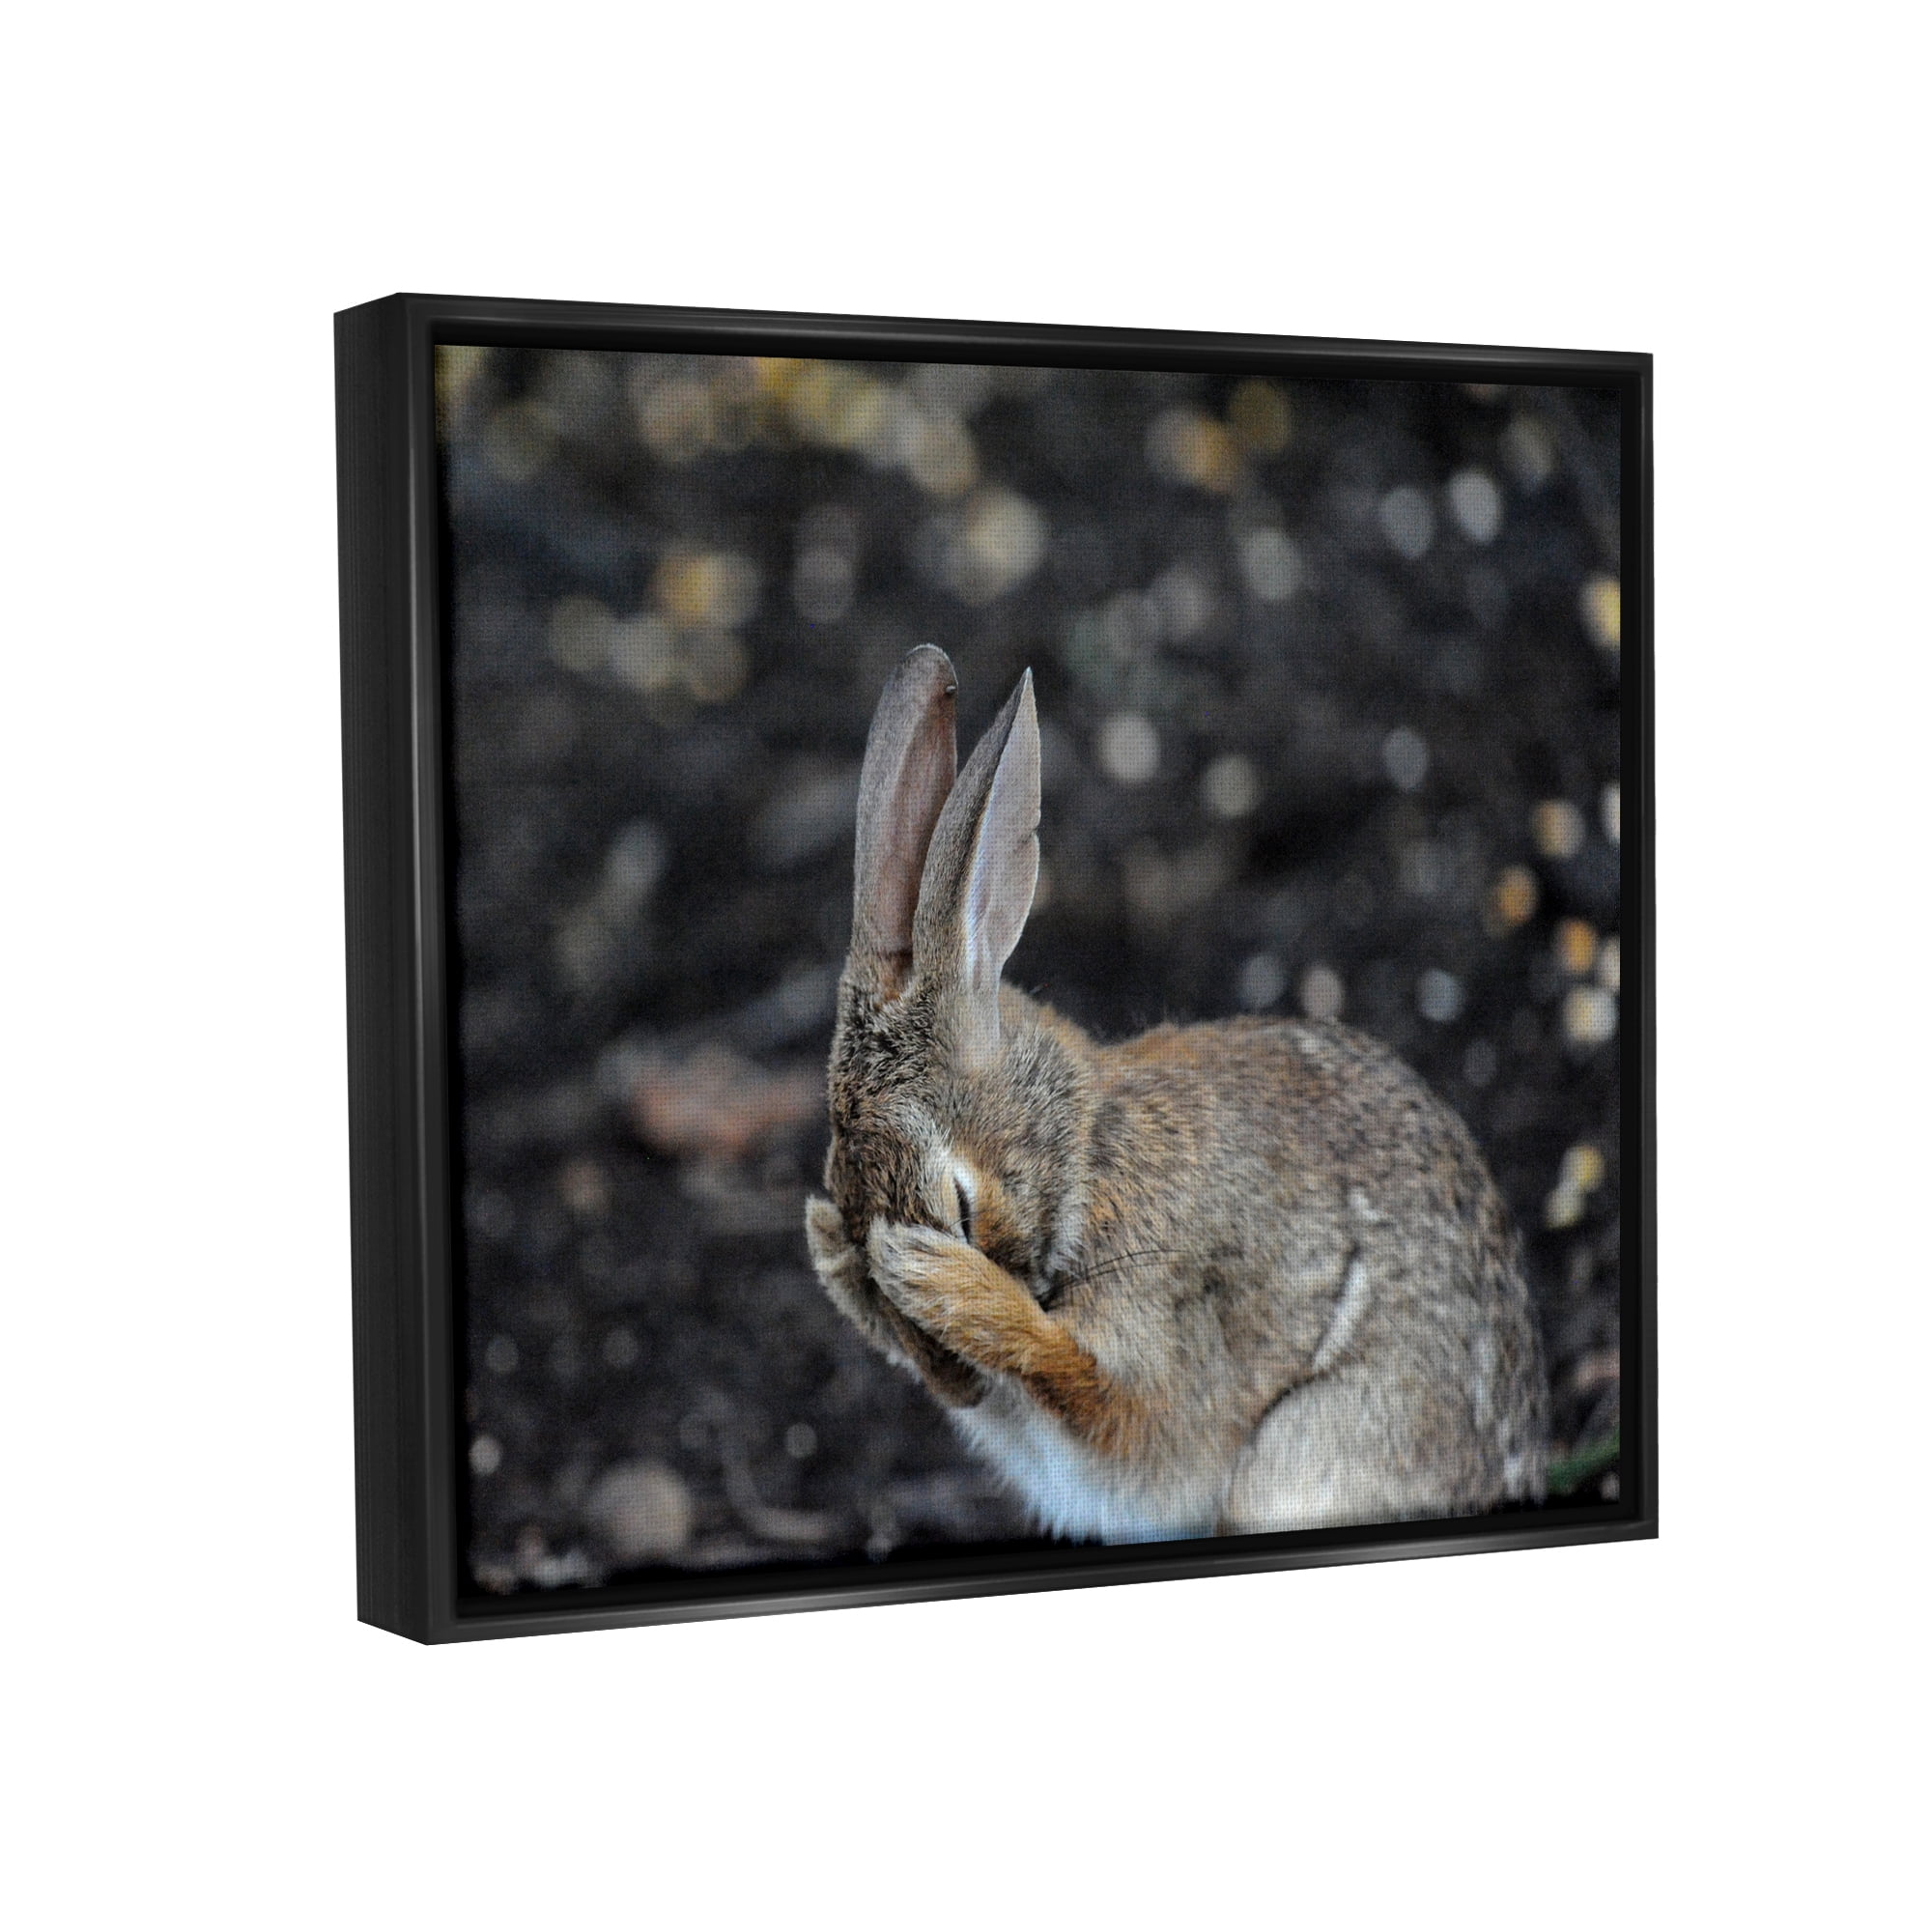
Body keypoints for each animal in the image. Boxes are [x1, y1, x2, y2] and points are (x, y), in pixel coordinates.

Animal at [805, 644, 1548, 1542]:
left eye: (962, 1207)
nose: (959, 1388)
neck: (1085, 1155)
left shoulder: (1161, 1337)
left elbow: (1106, 1395)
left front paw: (941, 1282)